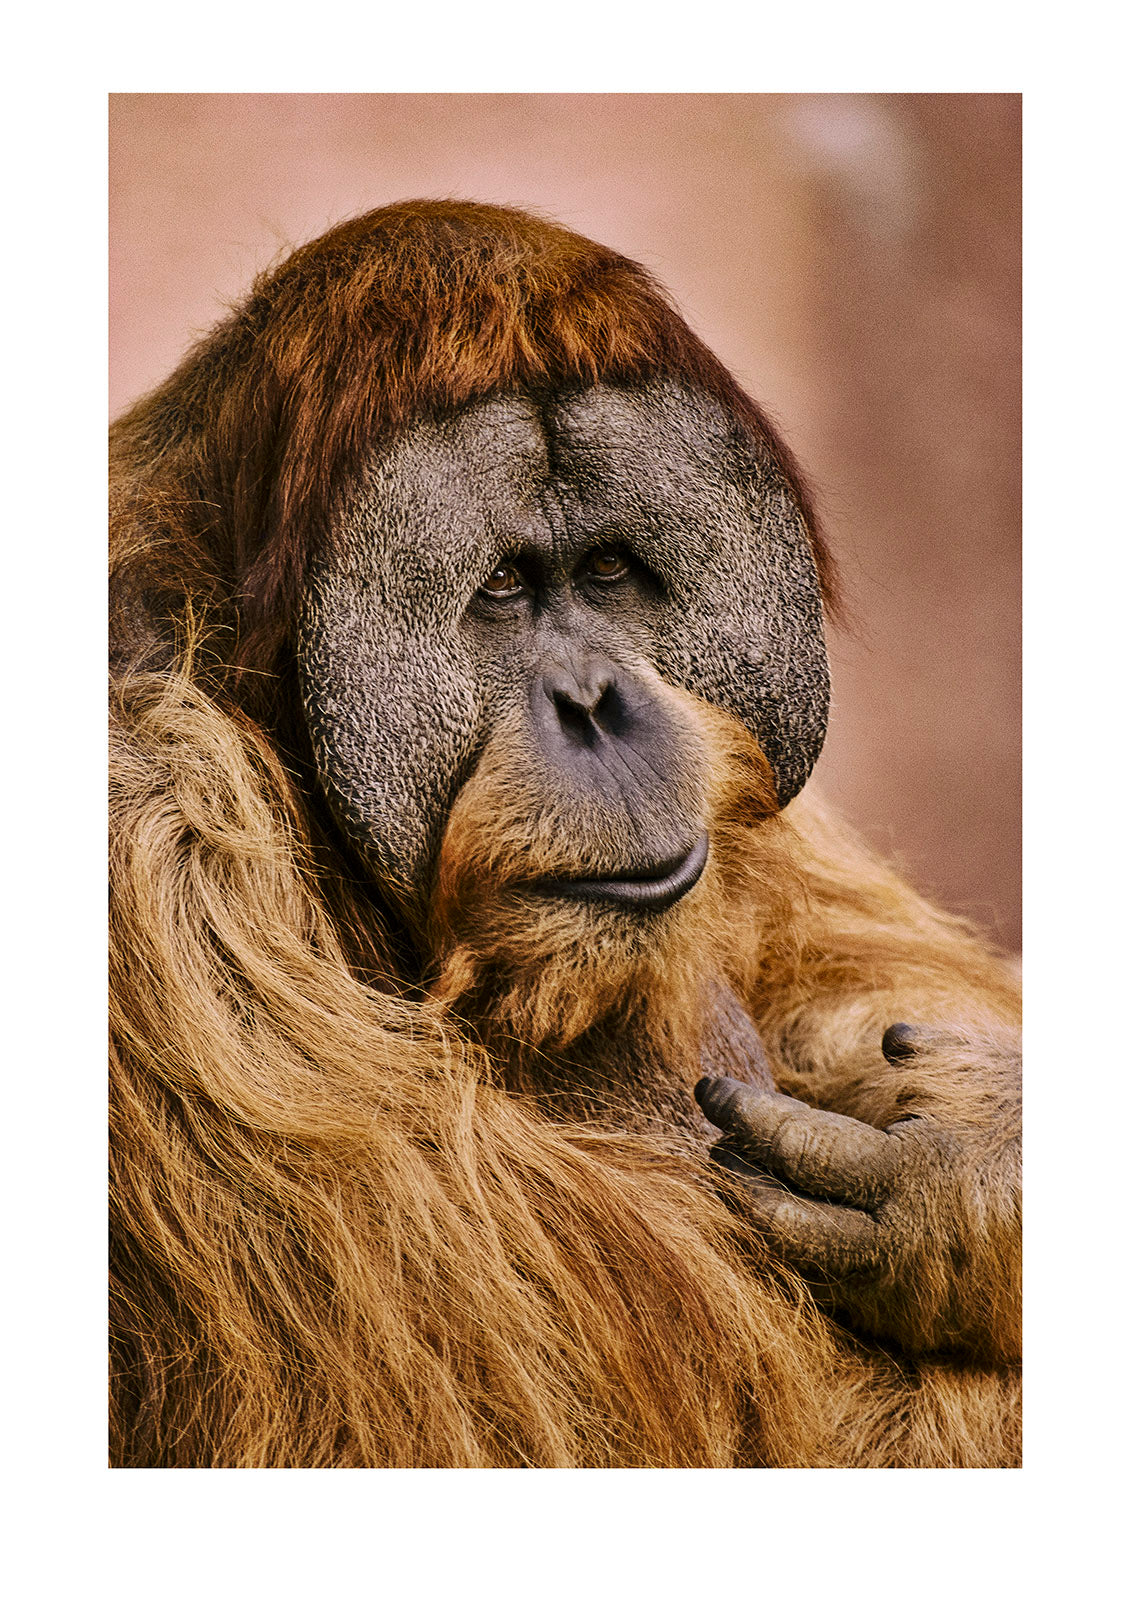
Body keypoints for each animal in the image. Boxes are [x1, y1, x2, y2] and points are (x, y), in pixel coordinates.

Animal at [109, 199, 1021, 1468]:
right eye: (501, 587)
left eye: (607, 570)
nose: (597, 701)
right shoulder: (152, 835)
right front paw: (976, 1190)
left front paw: (979, 1136)